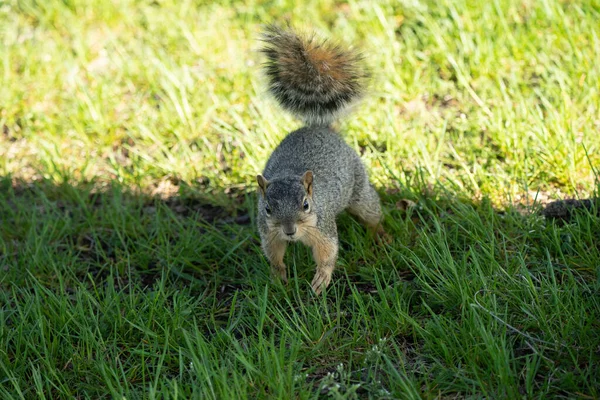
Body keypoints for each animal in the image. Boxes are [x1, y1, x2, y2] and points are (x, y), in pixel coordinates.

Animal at [255, 25, 382, 294]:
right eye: (268, 208)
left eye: (306, 205)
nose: (289, 231)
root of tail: (322, 129)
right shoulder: (268, 232)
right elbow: (274, 254)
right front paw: (278, 276)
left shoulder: (323, 228)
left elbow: (328, 253)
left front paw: (321, 279)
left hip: (359, 190)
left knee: (372, 213)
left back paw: (380, 235)